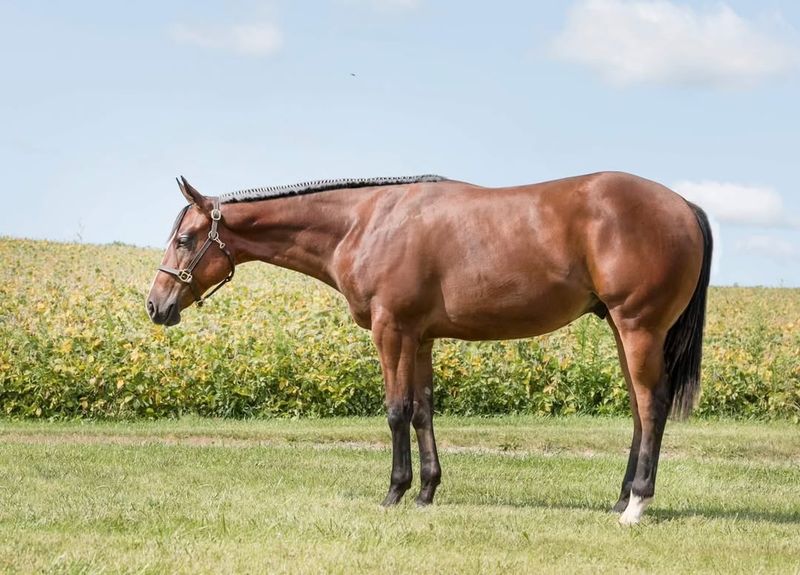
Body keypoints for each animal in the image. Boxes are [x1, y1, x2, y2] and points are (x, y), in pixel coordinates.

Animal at [145, 169, 712, 524]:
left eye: (185, 239)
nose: (155, 305)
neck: (364, 222)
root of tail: (684, 205)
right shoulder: (420, 338)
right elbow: (422, 411)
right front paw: (426, 491)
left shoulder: (391, 330)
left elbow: (396, 410)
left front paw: (394, 492)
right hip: (621, 330)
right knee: (639, 411)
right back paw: (620, 500)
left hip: (638, 327)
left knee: (652, 406)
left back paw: (637, 506)